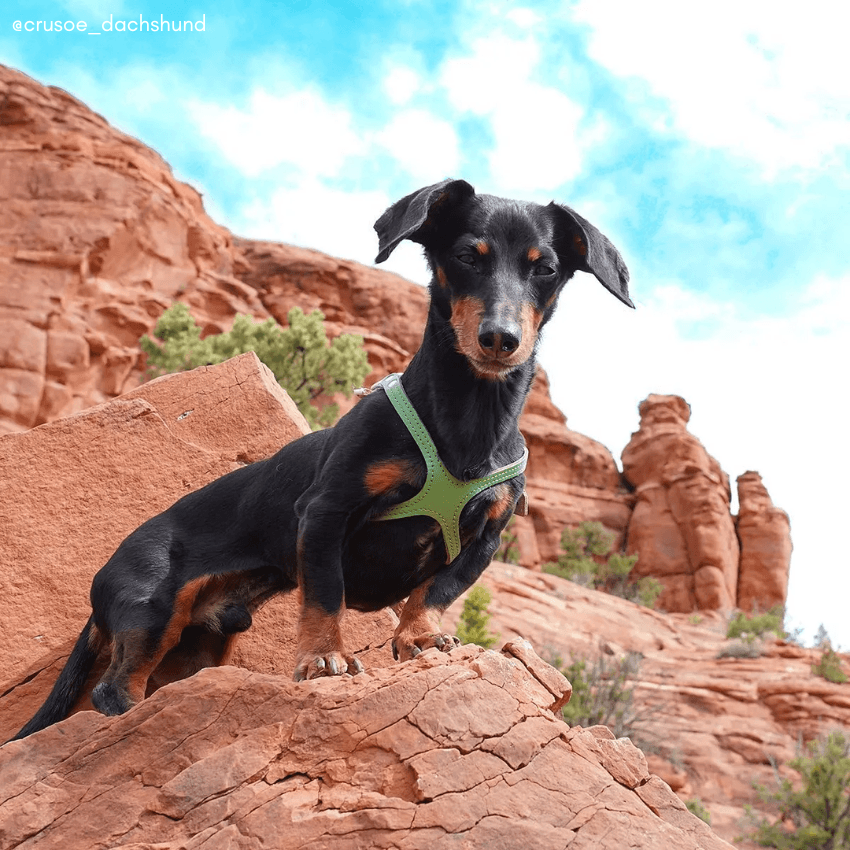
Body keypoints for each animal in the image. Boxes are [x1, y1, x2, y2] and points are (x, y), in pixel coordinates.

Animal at [8, 176, 628, 740]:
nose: (499, 338)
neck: (468, 421)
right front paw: (323, 660)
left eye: (544, 269)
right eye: (465, 256)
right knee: (113, 689)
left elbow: (437, 590)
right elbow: (326, 594)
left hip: (200, 644)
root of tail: (102, 579)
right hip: (153, 610)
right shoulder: (327, 512)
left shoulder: (486, 539)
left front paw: (419, 636)